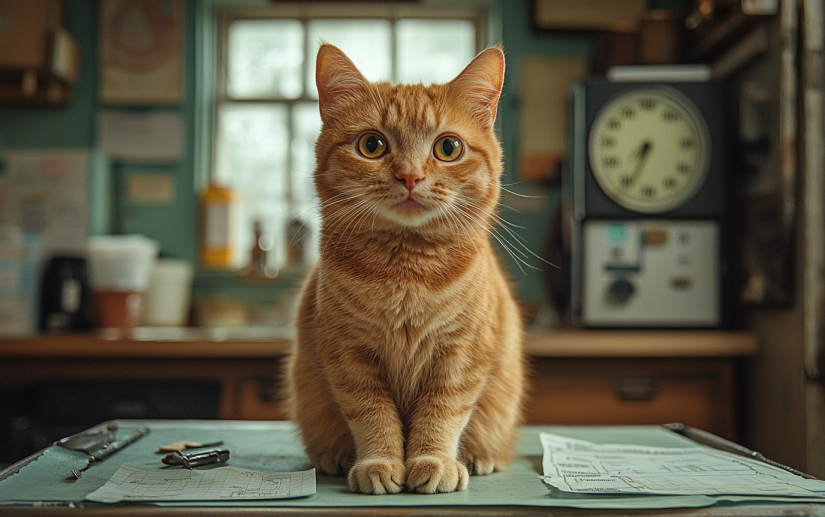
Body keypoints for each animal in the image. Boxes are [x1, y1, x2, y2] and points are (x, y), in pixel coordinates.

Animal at [286, 45, 524, 496]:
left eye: (448, 148)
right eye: (372, 145)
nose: (410, 176)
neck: (407, 273)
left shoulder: (461, 355)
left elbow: (442, 413)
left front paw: (434, 461)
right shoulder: (349, 355)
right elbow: (372, 415)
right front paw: (379, 463)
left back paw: (478, 458)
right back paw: (334, 457)